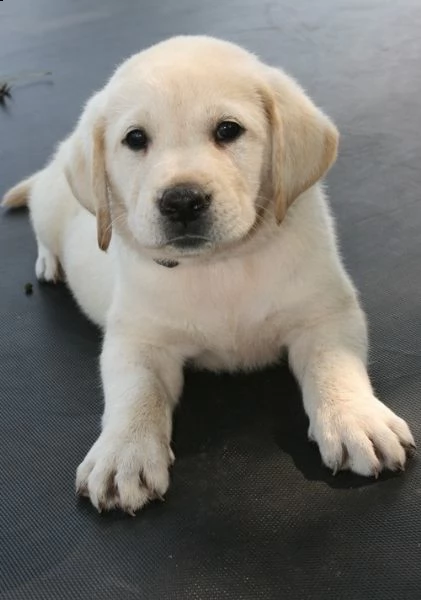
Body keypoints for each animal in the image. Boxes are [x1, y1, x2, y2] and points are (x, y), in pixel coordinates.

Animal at [3, 35, 414, 512]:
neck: (219, 265)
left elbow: (336, 364)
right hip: (52, 205)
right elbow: (134, 391)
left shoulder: (327, 312)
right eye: (135, 139)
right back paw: (49, 263)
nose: (182, 200)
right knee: (42, 230)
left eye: (228, 130)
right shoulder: (137, 339)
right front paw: (123, 452)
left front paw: (355, 418)